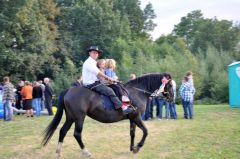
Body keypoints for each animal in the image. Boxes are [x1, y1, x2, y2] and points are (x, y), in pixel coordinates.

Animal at [41, 73, 172, 158]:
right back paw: (86, 152)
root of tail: (69, 90)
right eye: (170, 85)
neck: (137, 92)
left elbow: (132, 133)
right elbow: (145, 131)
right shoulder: (136, 117)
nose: (171, 98)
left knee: (63, 131)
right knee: (77, 134)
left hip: (70, 117)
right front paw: (138, 147)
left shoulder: (132, 118)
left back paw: (58, 152)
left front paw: (132, 148)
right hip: (79, 118)